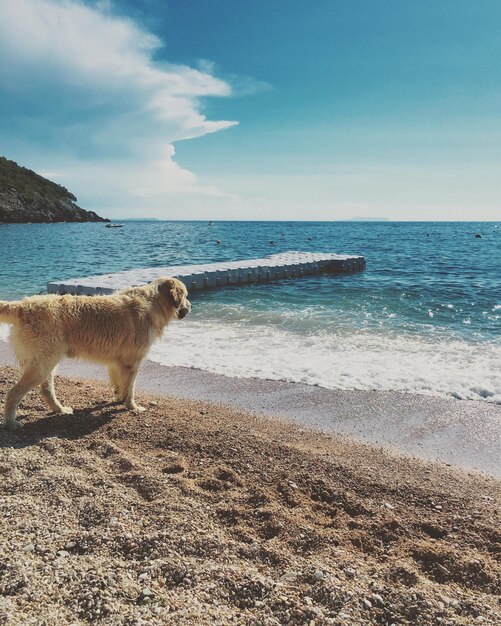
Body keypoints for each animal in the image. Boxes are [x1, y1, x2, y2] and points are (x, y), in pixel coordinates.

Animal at [0, 278, 190, 428]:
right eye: (186, 295)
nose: (190, 306)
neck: (153, 302)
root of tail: (23, 305)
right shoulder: (133, 362)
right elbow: (130, 388)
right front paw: (132, 406)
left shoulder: (118, 362)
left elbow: (120, 384)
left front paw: (120, 398)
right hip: (43, 364)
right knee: (13, 394)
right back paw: (10, 423)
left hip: (46, 363)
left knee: (46, 390)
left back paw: (60, 409)